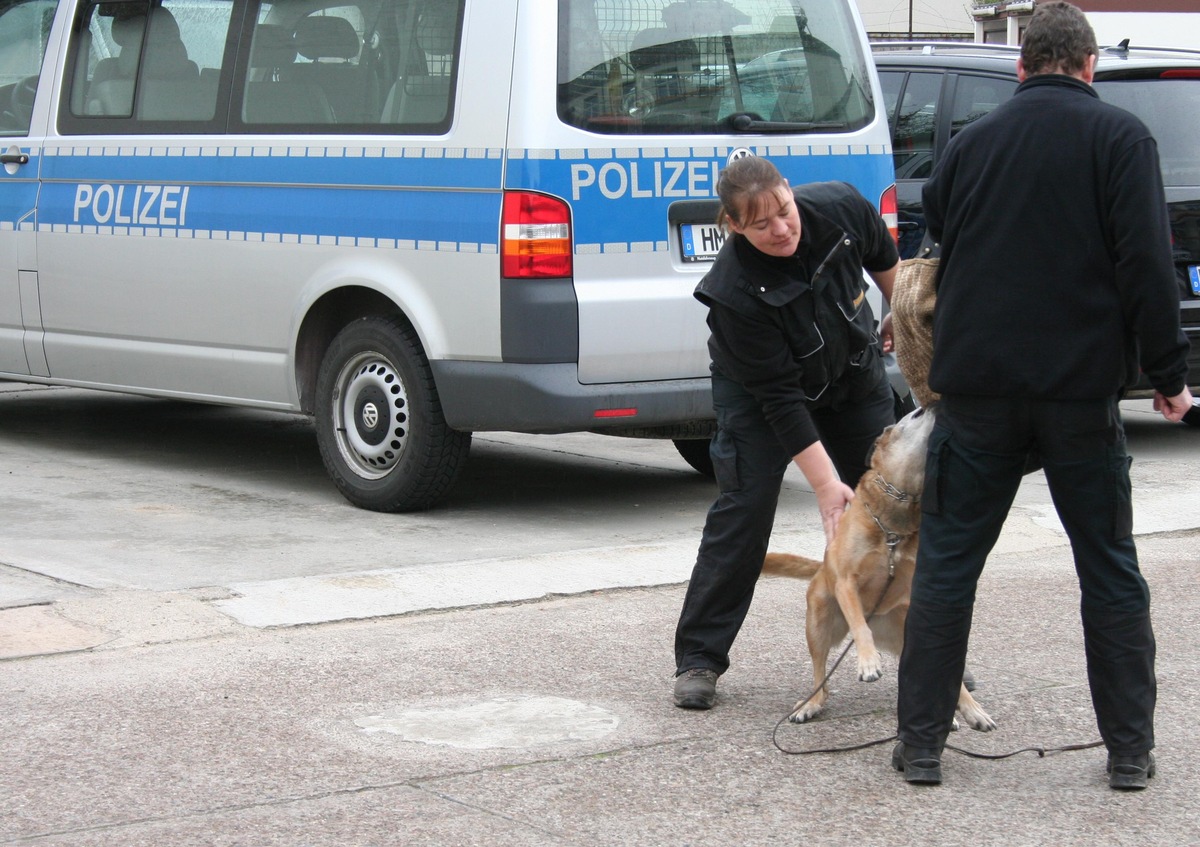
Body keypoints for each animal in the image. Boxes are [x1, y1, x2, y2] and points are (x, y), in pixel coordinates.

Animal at [768, 405, 993, 729]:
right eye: (917, 414)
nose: (936, 405)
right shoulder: (846, 582)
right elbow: (860, 627)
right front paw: (868, 662)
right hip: (819, 623)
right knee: (821, 679)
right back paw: (810, 704)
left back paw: (966, 710)